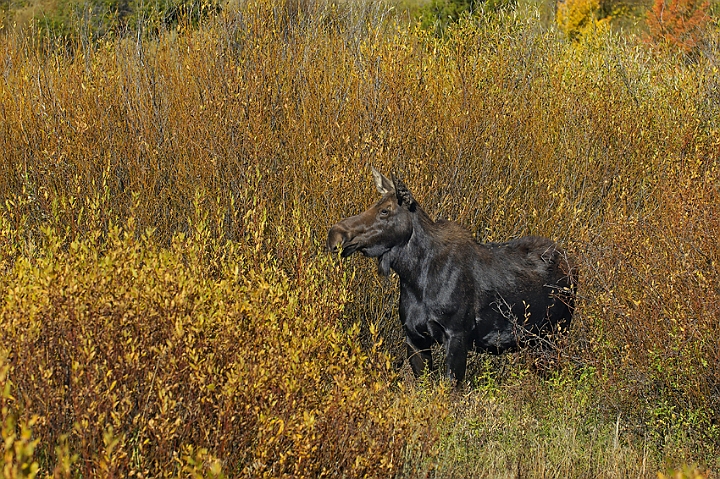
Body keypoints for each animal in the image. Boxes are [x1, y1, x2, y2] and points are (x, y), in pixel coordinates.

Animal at [330, 167, 576, 384]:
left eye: (385, 210)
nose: (335, 234)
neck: (415, 277)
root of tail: (572, 265)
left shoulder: (456, 335)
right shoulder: (414, 337)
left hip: (556, 334)